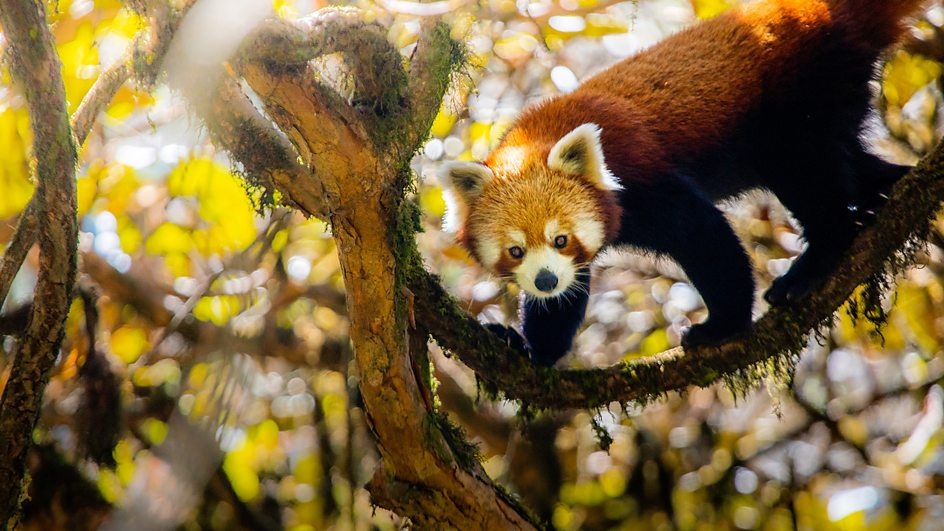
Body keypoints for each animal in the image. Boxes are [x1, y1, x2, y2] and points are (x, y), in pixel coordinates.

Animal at [438, 0, 924, 366]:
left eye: (560, 239)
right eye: (516, 251)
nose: (543, 281)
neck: (538, 134)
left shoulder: (644, 180)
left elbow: (706, 238)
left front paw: (723, 325)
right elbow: (566, 297)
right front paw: (530, 347)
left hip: (801, 87)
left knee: (807, 172)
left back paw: (816, 260)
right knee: (848, 160)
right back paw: (890, 192)